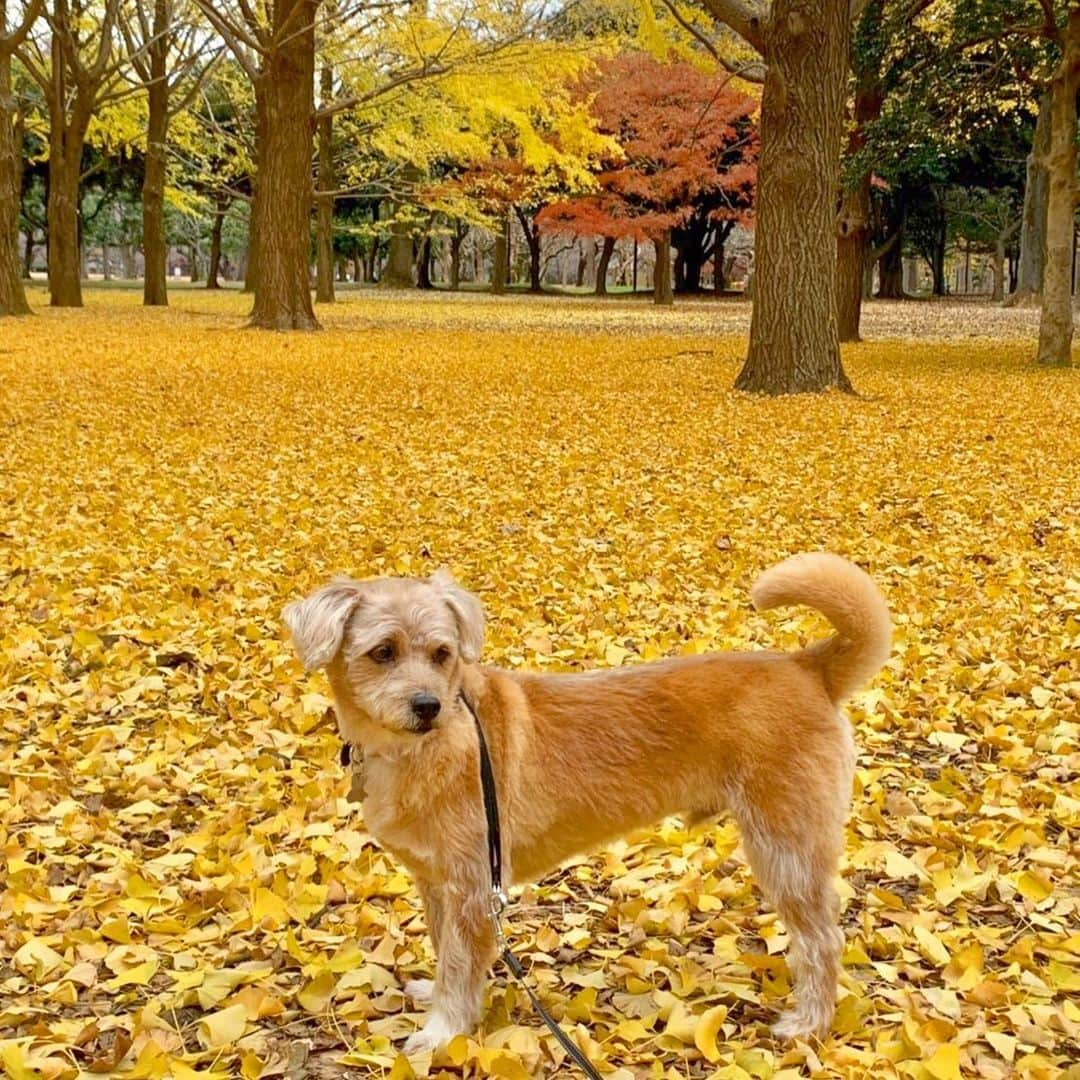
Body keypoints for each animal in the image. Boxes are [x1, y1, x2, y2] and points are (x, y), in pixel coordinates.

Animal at [282, 552, 889, 1049]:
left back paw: (809, 1023)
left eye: (441, 652)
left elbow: (459, 964)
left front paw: (443, 1032)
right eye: (382, 652)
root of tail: (808, 667)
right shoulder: (438, 886)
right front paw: (438, 998)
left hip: (787, 851)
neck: (423, 749)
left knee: (822, 941)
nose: (427, 705)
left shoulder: (473, 890)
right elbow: (446, 953)